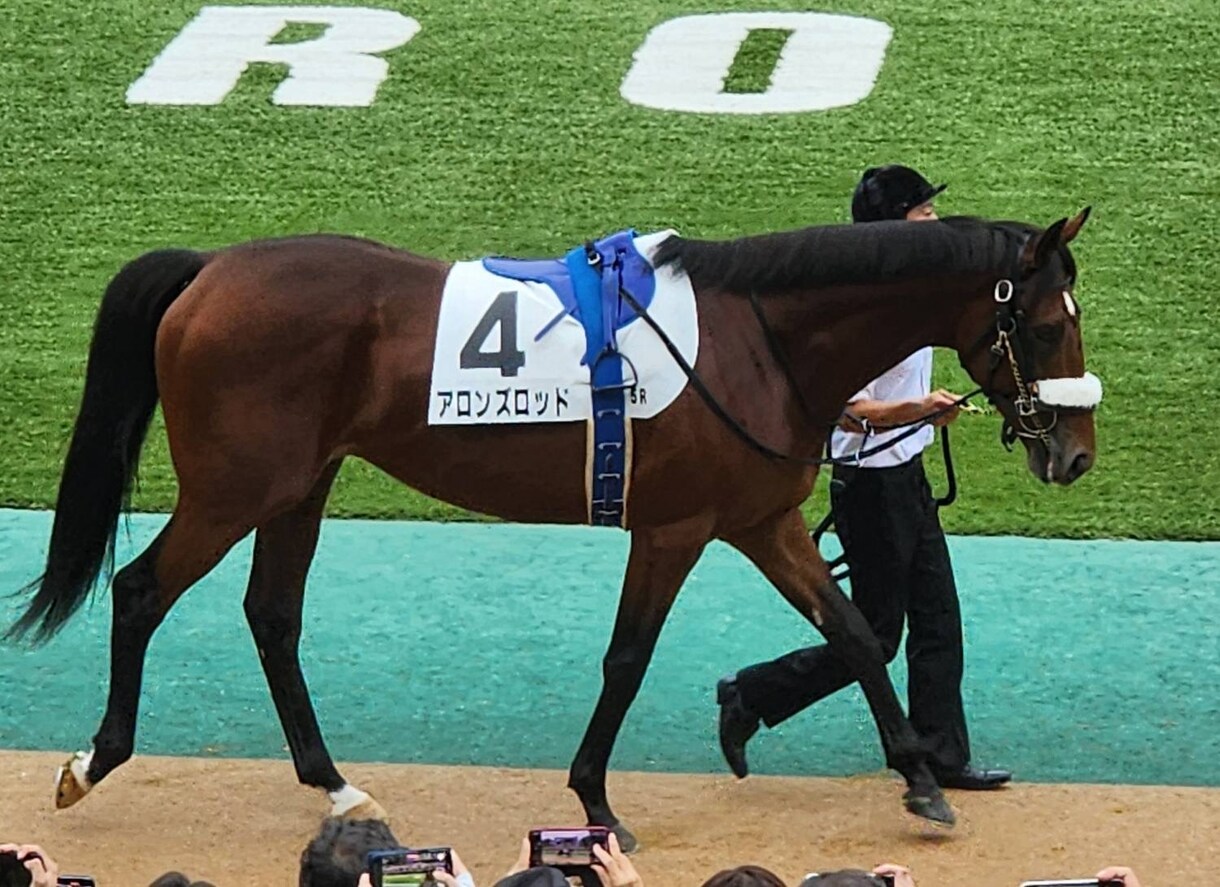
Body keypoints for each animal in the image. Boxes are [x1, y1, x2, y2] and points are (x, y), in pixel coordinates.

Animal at [7, 210, 1100, 850]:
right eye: (1048, 325)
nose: (1076, 452)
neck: (760, 338)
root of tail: (208, 269)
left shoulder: (763, 518)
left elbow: (857, 630)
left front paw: (920, 778)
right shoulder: (675, 526)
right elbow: (627, 656)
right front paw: (595, 799)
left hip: (301, 484)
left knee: (272, 615)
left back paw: (338, 787)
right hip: (236, 487)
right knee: (143, 589)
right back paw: (90, 762)